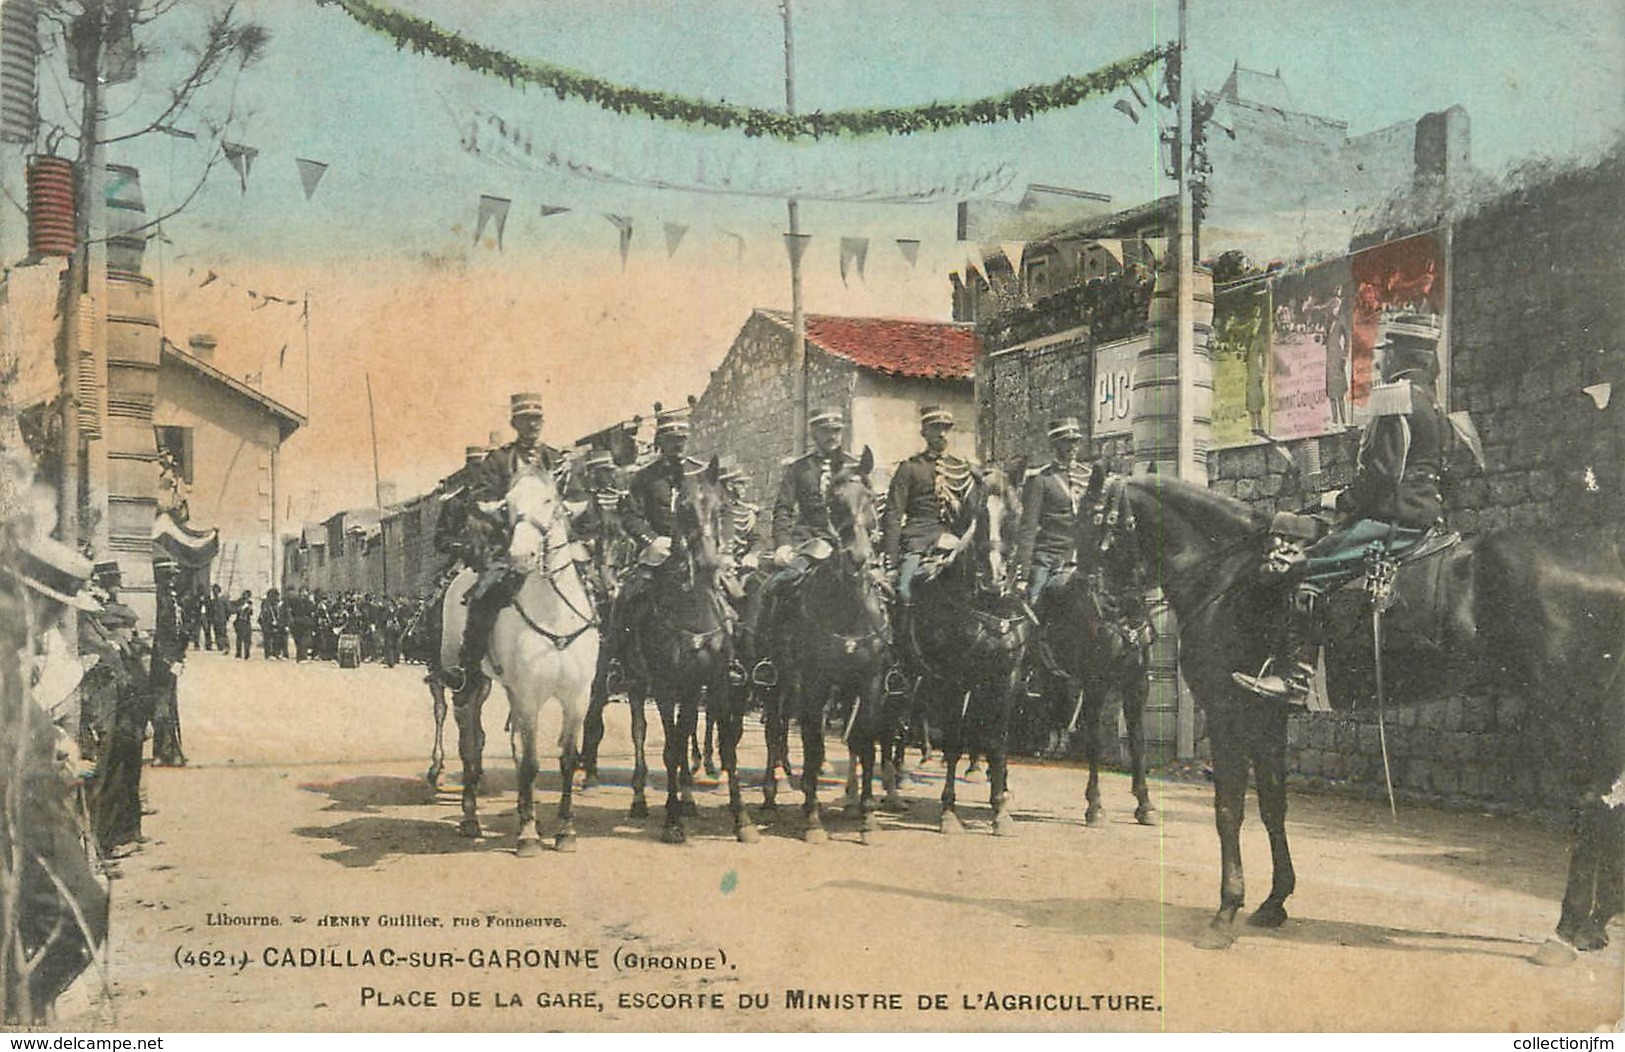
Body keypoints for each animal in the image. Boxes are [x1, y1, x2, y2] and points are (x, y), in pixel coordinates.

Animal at [451, 474, 604, 858]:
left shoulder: (577, 698)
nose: (521, 556)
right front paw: (529, 835)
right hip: (470, 685)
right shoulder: (529, 696)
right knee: (469, 743)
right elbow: (532, 764)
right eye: (508, 506)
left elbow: (567, 761)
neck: (554, 614)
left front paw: (565, 832)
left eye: (549, 501)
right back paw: (470, 817)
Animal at [903, 468, 1027, 838]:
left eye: (1015, 514)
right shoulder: (954, 681)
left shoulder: (1004, 679)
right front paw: (948, 812)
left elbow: (997, 742)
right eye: (977, 515)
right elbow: (955, 740)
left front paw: (1000, 809)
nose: (993, 581)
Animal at [1079, 478, 1625, 962]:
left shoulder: (1229, 712)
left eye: (1093, 519)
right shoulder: (1265, 715)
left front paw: (1225, 913)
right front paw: (1274, 901)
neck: (1230, 575)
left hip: (1565, 711)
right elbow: (1272, 806)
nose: (1103, 610)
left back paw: (1565, 932)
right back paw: (1595, 926)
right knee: (1610, 805)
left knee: (1589, 805)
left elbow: (1229, 812)